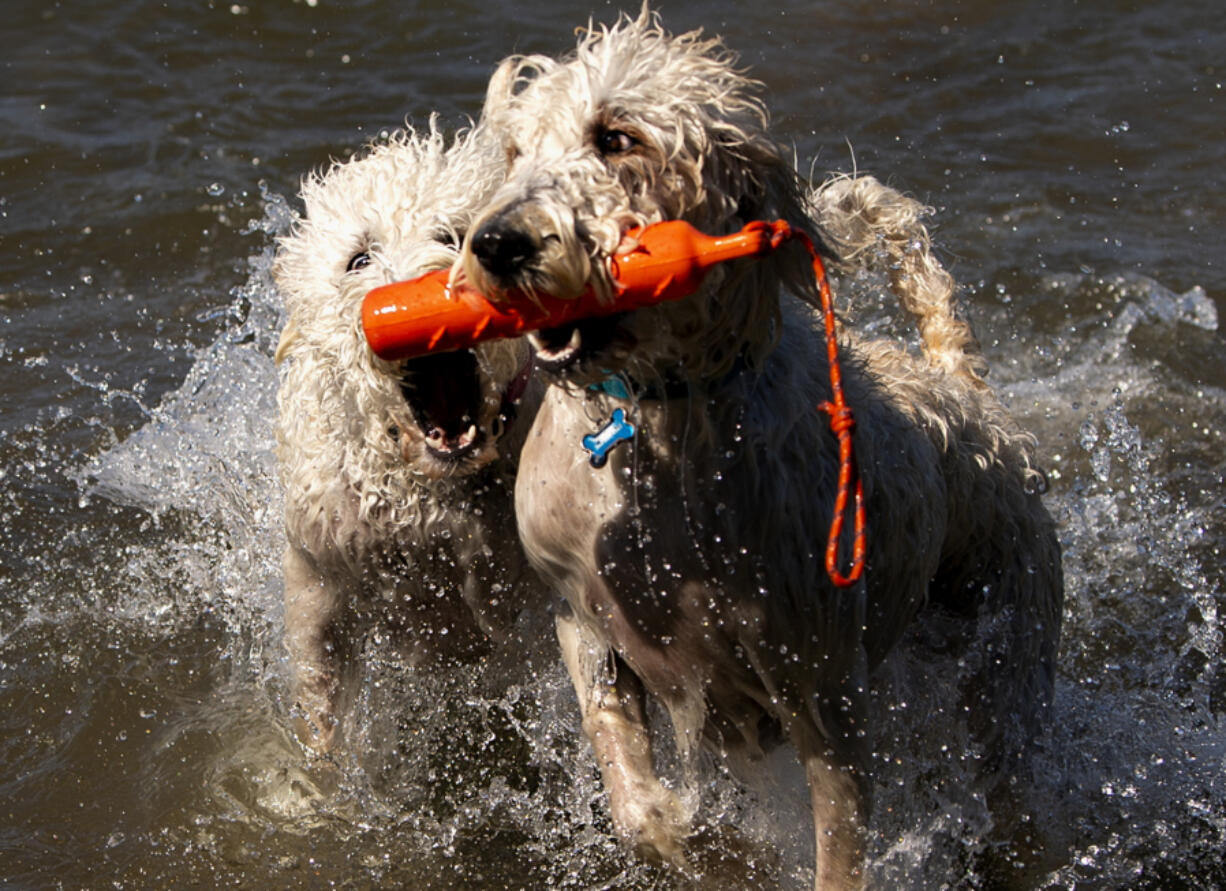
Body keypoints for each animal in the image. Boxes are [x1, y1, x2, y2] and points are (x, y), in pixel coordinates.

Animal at [460, 10, 1064, 887]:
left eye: (616, 137)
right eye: (512, 152)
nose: (496, 243)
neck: (654, 436)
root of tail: (967, 395)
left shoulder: (823, 689)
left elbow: (840, 847)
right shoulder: (583, 617)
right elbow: (635, 796)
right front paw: (700, 843)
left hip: (1011, 652)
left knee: (1012, 766)